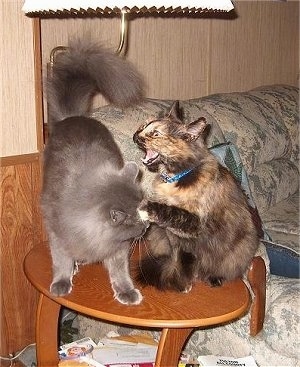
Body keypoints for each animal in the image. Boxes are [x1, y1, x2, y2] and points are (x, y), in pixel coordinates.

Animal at [41, 38, 148, 306]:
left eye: (145, 213)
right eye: (137, 220)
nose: (146, 229)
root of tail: (72, 117)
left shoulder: (118, 248)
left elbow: (120, 271)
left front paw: (126, 292)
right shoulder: (58, 235)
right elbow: (61, 261)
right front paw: (62, 282)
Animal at [134, 102, 260, 292]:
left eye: (156, 134)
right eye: (142, 127)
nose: (135, 136)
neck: (174, 178)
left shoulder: (197, 222)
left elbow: (170, 211)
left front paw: (144, 209)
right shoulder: (173, 239)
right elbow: (177, 259)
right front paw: (181, 282)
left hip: (240, 249)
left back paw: (214, 278)